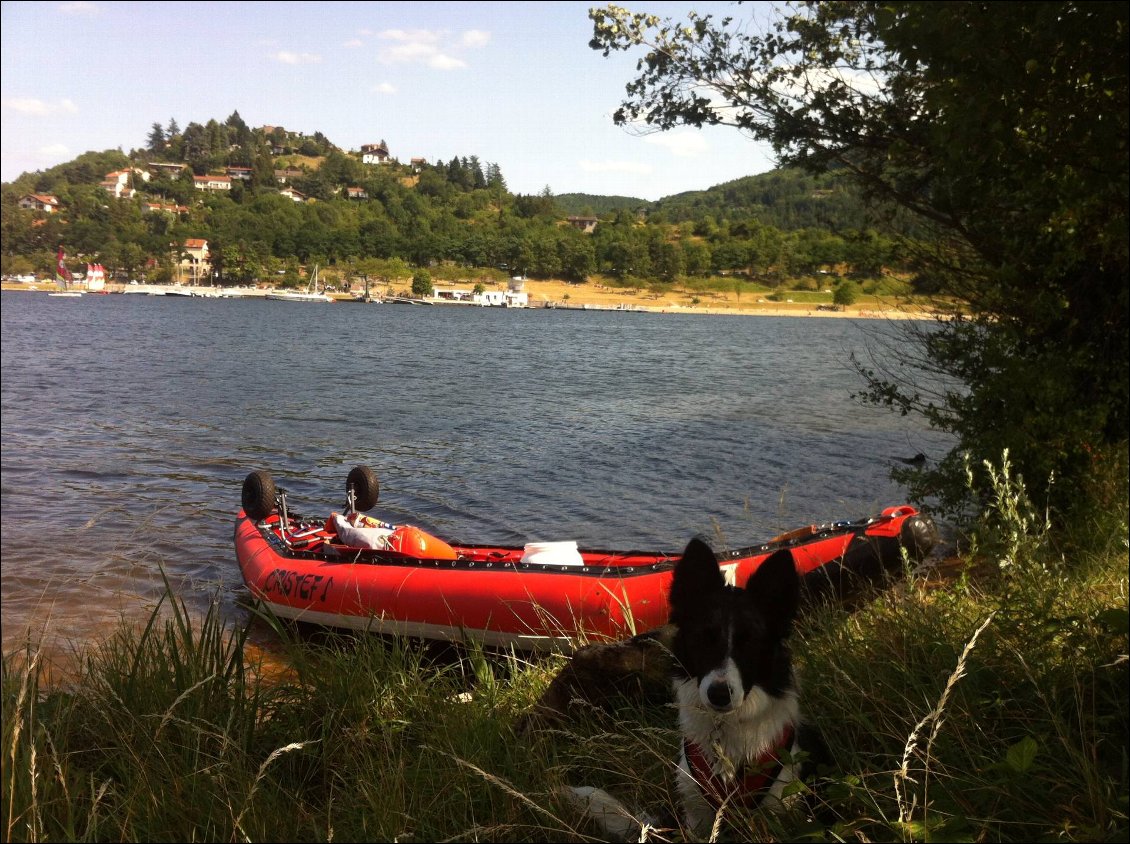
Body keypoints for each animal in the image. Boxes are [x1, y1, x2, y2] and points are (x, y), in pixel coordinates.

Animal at [565, 537, 822, 840]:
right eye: (704, 639)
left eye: (750, 642)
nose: (719, 695)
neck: (725, 732)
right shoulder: (696, 812)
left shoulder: (781, 808)